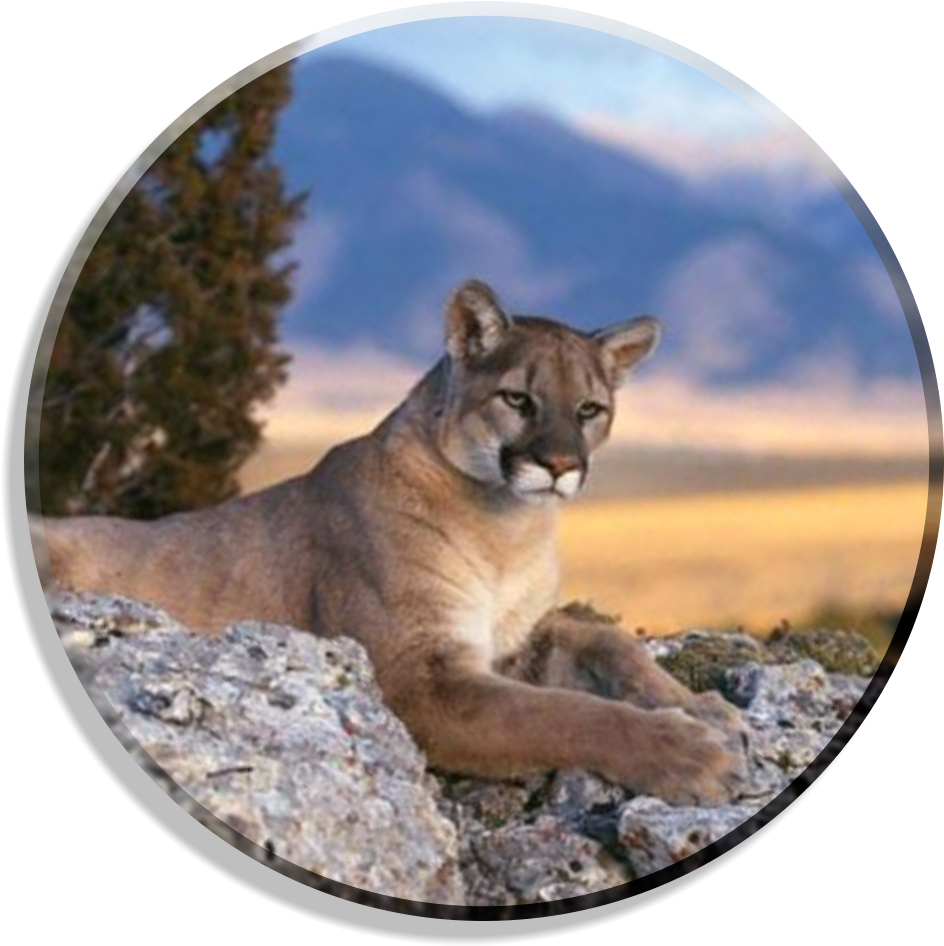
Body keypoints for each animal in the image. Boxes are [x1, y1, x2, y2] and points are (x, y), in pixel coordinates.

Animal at [33, 280, 747, 805]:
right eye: (518, 398)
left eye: (589, 410)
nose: (561, 465)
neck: (510, 529)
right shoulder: (422, 679)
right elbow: (568, 715)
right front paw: (691, 753)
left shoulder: (508, 642)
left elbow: (605, 640)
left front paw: (704, 709)